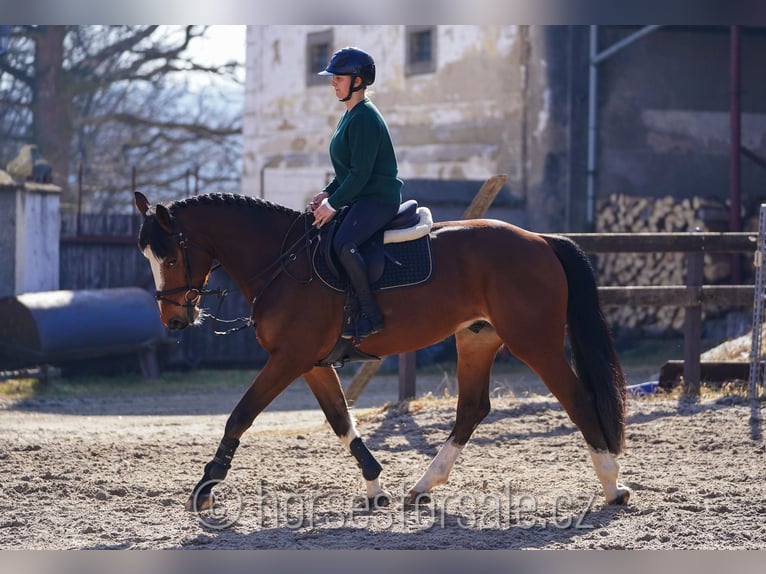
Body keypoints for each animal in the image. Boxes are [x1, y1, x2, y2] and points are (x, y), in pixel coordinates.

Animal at [135, 191, 632, 516]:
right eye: (149, 258)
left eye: (171, 257)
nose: (175, 320)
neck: (283, 262)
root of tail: (542, 240)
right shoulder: (309, 363)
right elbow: (340, 420)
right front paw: (375, 485)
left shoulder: (288, 359)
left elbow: (240, 416)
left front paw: (204, 488)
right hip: (477, 339)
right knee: (472, 409)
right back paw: (423, 486)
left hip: (535, 343)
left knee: (577, 399)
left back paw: (612, 485)